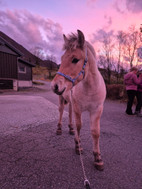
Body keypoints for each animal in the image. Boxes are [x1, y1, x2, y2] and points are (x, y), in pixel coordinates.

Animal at [50, 29, 105, 171]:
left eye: (75, 59)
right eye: (62, 59)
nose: (54, 86)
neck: (90, 88)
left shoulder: (97, 110)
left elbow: (95, 132)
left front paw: (98, 158)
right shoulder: (78, 108)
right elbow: (79, 125)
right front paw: (78, 145)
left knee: (69, 113)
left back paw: (70, 129)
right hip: (62, 99)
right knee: (61, 111)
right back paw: (59, 129)